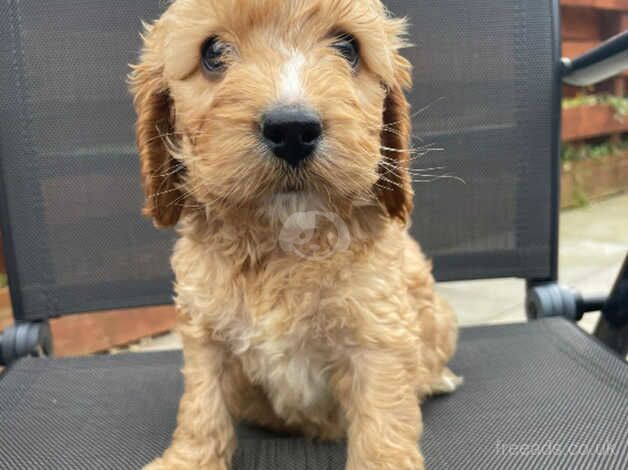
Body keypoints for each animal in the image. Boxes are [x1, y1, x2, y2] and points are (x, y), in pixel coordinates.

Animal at [130, 1, 458, 468]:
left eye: (348, 47)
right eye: (212, 52)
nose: (291, 129)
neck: (284, 239)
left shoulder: (378, 338)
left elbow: (383, 424)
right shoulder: (204, 332)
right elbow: (201, 405)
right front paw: (188, 459)